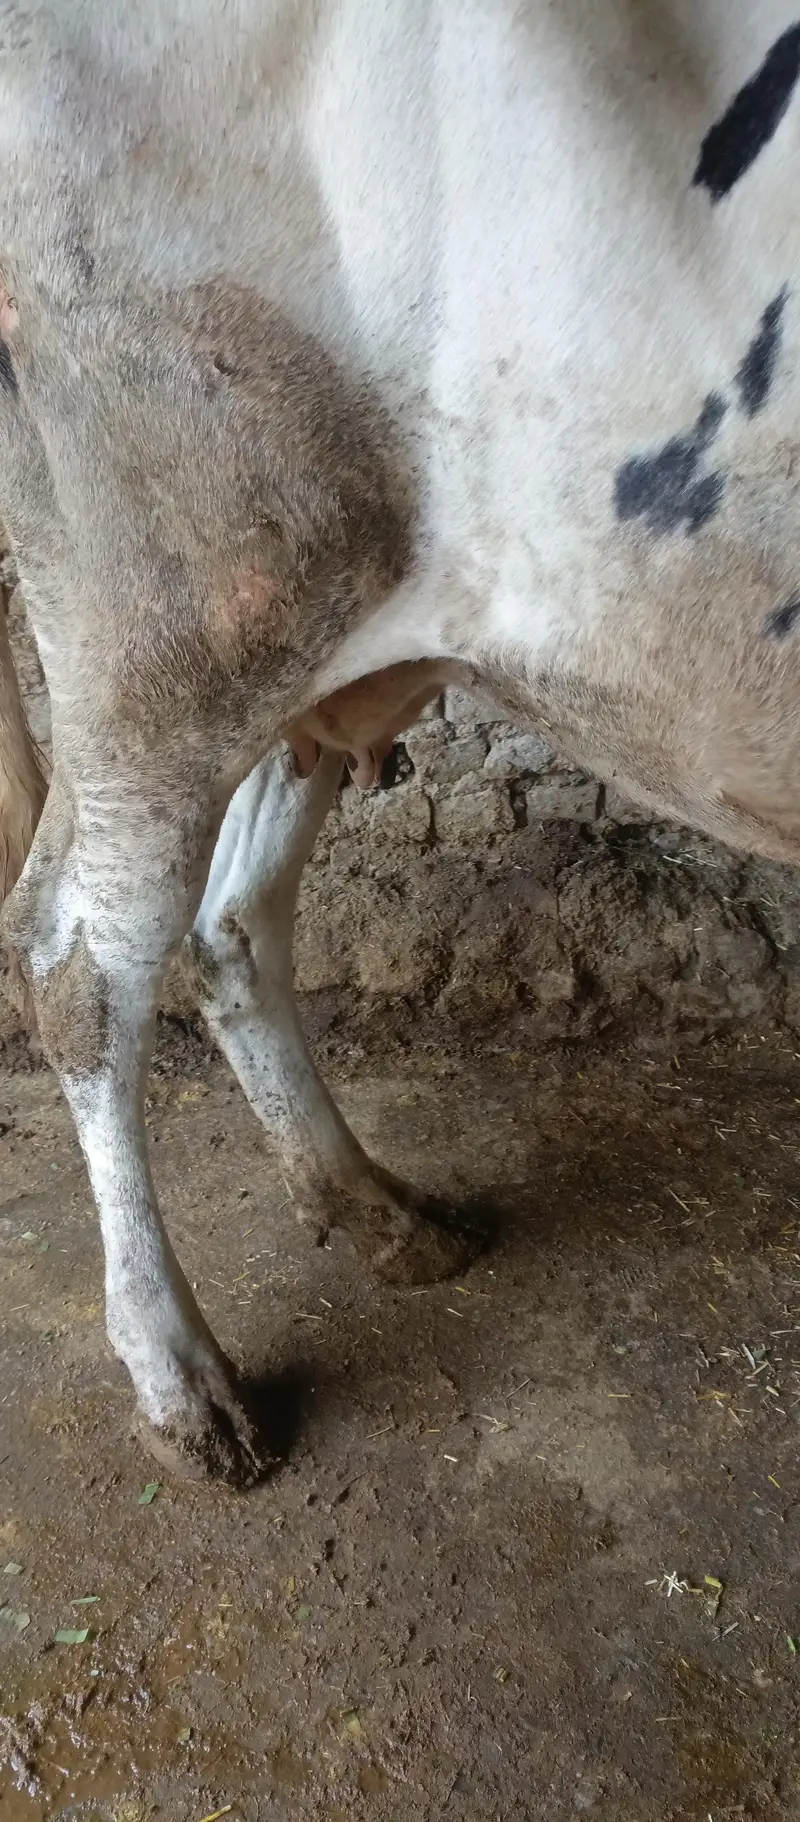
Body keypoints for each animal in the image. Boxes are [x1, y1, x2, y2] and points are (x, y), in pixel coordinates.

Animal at [3, 0, 800, 1482]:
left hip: (311, 642)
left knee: (229, 920)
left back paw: (381, 1212)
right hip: (167, 633)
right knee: (78, 963)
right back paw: (184, 1384)